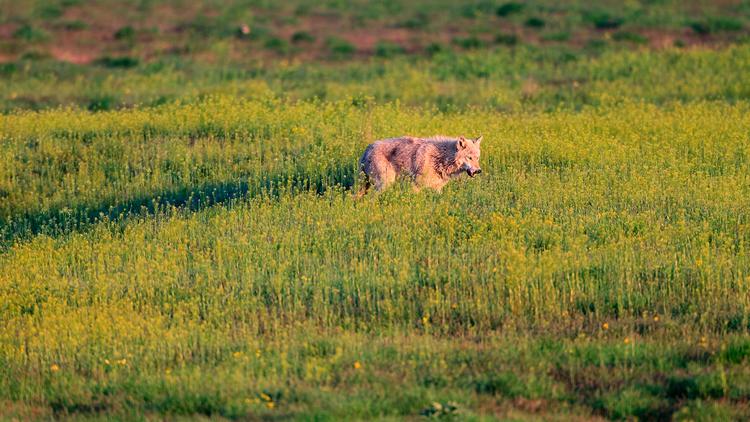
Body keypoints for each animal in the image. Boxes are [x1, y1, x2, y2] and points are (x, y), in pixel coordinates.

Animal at [360, 135, 488, 196]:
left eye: (477, 158)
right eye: (469, 158)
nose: (479, 170)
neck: (441, 158)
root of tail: (367, 149)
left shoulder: (437, 189)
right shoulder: (416, 186)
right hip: (385, 183)